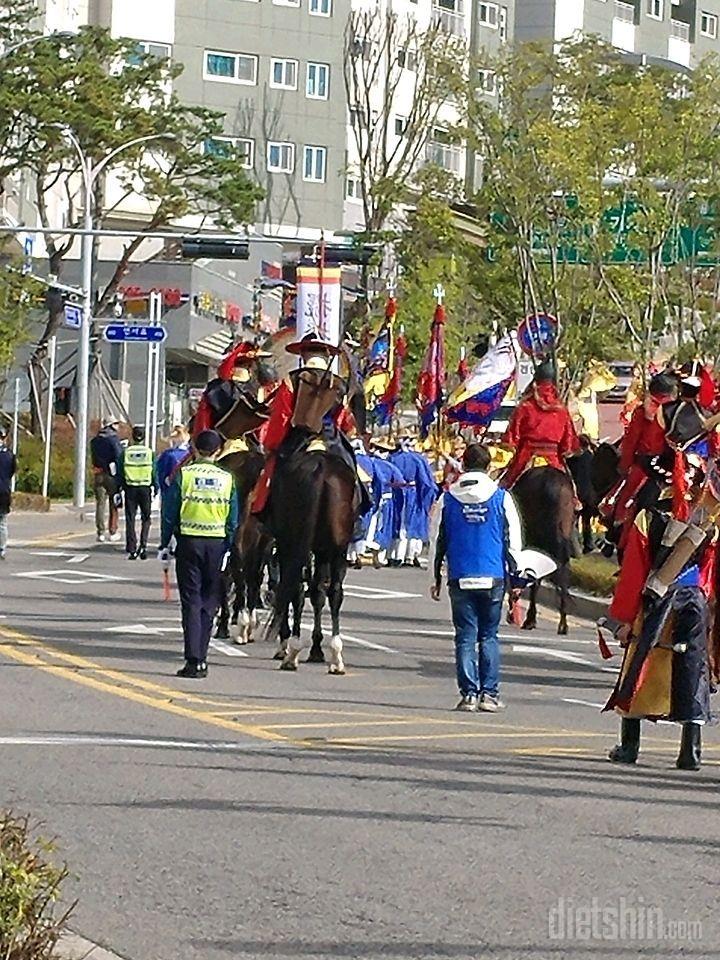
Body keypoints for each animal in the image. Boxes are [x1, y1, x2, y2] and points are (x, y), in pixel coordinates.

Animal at [262, 450, 358, 676]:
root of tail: (320, 467)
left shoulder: (286, 546)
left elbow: (295, 590)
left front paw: (291, 646)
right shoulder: (322, 551)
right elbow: (318, 594)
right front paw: (315, 648)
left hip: (299, 543)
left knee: (297, 588)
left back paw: (293, 651)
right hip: (336, 548)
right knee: (333, 592)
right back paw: (336, 658)